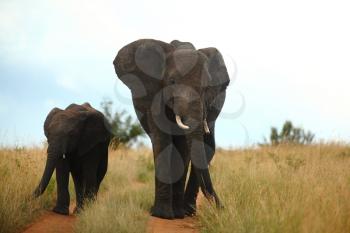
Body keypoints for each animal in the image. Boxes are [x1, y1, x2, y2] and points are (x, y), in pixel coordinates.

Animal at [115, 38, 230, 218]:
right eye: (172, 82)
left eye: (206, 88)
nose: (223, 208)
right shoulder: (154, 94)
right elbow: (163, 140)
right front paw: (162, 215)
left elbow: (183, 146)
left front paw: (175, 214)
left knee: (206, 147)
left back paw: (186, 211)